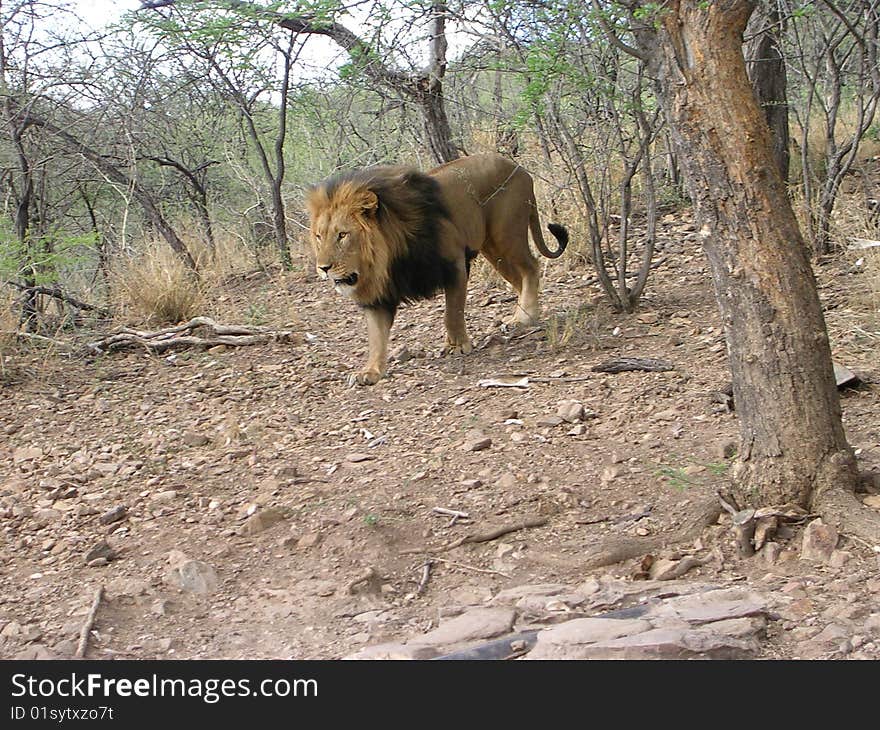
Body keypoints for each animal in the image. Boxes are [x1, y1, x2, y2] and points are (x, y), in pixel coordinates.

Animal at [308, 151, 572, 384]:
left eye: (342, 235)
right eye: (319, 236)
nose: (323, 268)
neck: (387, 260)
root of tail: (519, 168)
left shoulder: (454, 264)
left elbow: (452, 313)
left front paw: (456, 346)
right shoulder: (378, 296)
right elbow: (376, 337)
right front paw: (371, 371)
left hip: (505, 235)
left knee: (531, 268)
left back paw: (525, 317)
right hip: (492, 249)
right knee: (519, 279)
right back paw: (520, 316)